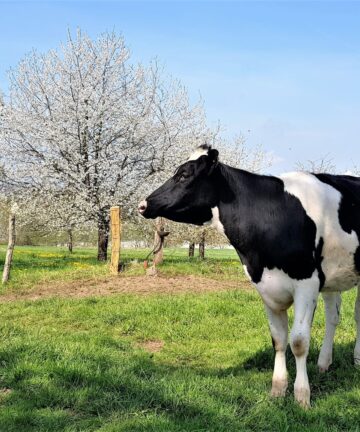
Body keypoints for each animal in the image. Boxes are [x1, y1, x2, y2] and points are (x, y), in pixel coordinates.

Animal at [138, 145, 360, 408]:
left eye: (184, 175)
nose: (143, 204)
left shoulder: (307, 282)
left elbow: (298, 342)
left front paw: (302, 396)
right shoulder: (266, 286)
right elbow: (279, 339)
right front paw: (277, 390)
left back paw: (356, 361)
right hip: (333, 275)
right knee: (333, 316)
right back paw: (324, 363)